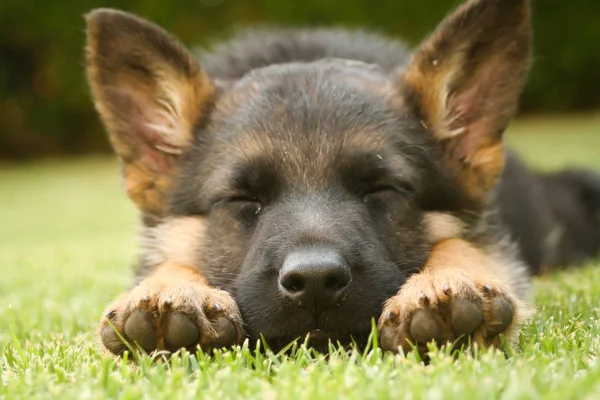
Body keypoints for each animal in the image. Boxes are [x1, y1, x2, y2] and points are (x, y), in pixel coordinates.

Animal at [88, 0, 600, 356]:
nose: (315, 281)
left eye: (381, 191)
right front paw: (170, 290)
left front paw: (450, 280)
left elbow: (463, 243)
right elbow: (170, 258)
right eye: (242, 200)